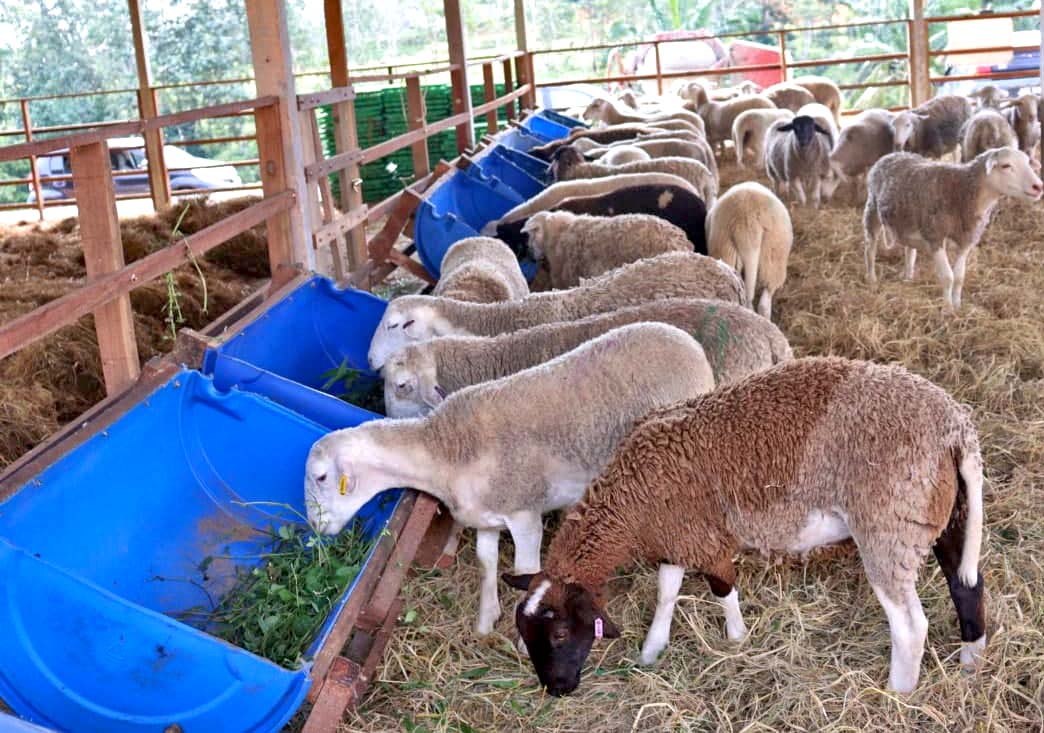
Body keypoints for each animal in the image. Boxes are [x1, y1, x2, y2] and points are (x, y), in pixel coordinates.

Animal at [310, 323, 716, 636]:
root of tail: (689, 344)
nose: (315, 529)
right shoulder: (485, 518)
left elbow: (526, 572)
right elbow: (485, 562)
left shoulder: (524, 515)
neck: (444, 449)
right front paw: (486, 619)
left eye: (321, 476)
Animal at [504, 356, 986, 697]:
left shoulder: (704, 540)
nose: (556, 691)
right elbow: (667, 592)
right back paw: (970, 662)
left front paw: (736, 639)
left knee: (910, 626)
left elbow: (723, 588)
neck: (631, 503)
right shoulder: (678, 536)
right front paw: (653, 649)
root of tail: (955, 429)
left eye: (560, 634)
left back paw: (896, 694)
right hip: (945, 517)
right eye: (525, 635)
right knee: (967, 586)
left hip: (889, 528)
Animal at [863, 148, 1042, 307]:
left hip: (909, 220)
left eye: (1027, 163)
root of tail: (893, 154)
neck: (961, 190)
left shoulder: (966, 240)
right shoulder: (935, 235)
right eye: (1005, 166)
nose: (1038, 186)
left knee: (910, 252)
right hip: (872, 208)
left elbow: (959, 277)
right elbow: (948, 277)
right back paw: (872, 279)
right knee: (870, 250)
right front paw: (947, 310)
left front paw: (957, 306)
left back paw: (908, 278)